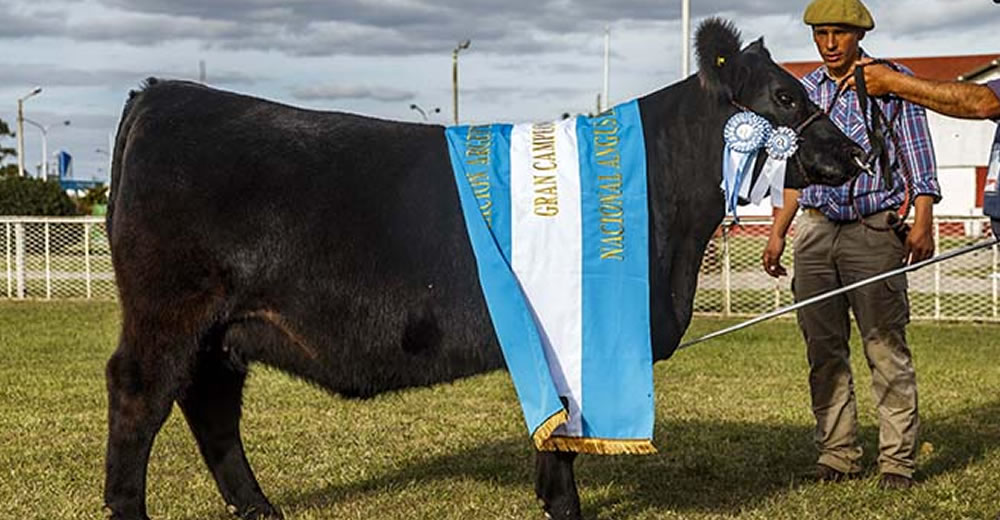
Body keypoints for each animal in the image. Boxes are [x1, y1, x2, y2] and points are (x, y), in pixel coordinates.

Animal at [105, 19, 864, 520]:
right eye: (786, 97)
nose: (854, 153)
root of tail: (158, 95)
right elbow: (567, 431)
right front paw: (563, 506)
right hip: (171, 309)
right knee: (140, 396)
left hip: (221, 332)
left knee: (211, 408)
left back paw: (260, 509)